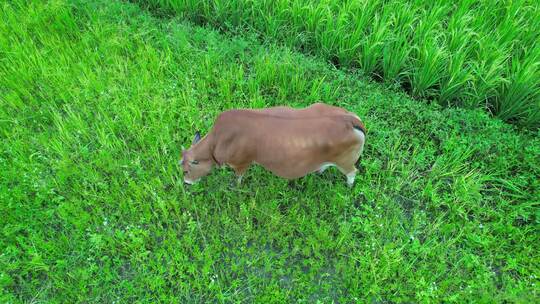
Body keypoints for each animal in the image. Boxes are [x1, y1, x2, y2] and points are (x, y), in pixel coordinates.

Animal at [182, 103, 368, 186]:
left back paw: (349, 185)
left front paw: (235, 186)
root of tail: (350, 119)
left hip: (345, 162)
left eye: (186, 170)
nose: (186, 183)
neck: (218, 140)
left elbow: (238, 178)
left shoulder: (242, 162)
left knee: (352, 172)